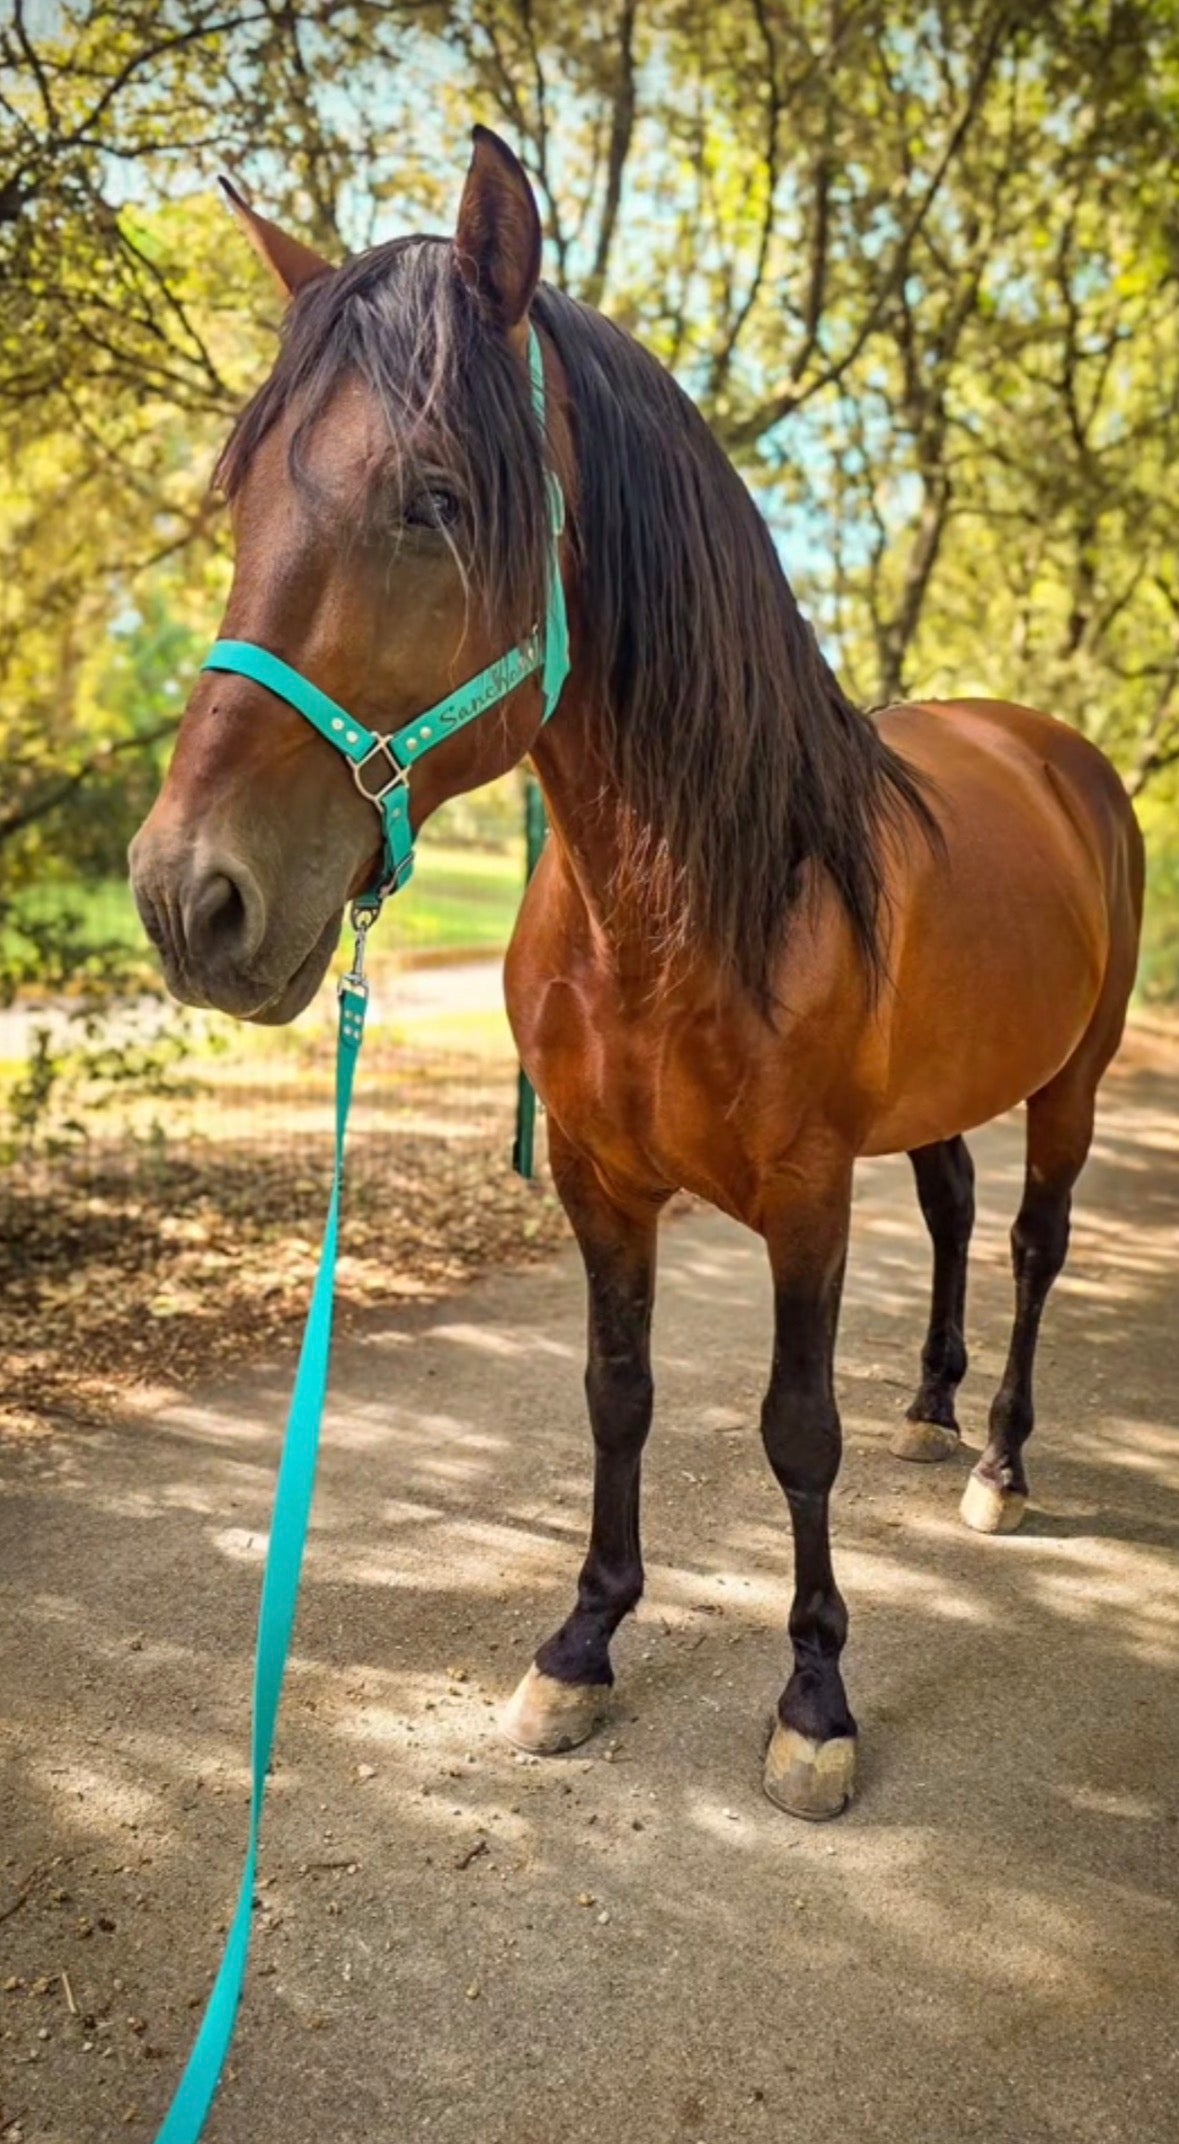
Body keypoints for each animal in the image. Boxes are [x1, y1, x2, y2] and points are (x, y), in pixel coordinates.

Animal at [129, 127, 1144, 1820]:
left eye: (434, 497)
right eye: (242, 494)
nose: (186, 898)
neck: (679, 904)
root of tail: (1047, 749)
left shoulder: (804, 1194)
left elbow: (793, 1430)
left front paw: (813, 1699)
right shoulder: (596, 1180)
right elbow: (617, 1394)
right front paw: (581, 1645)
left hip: (1069, 1081)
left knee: (1027, 1247)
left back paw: (998, 1460)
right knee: (951, 1214)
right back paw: (929, 1413)